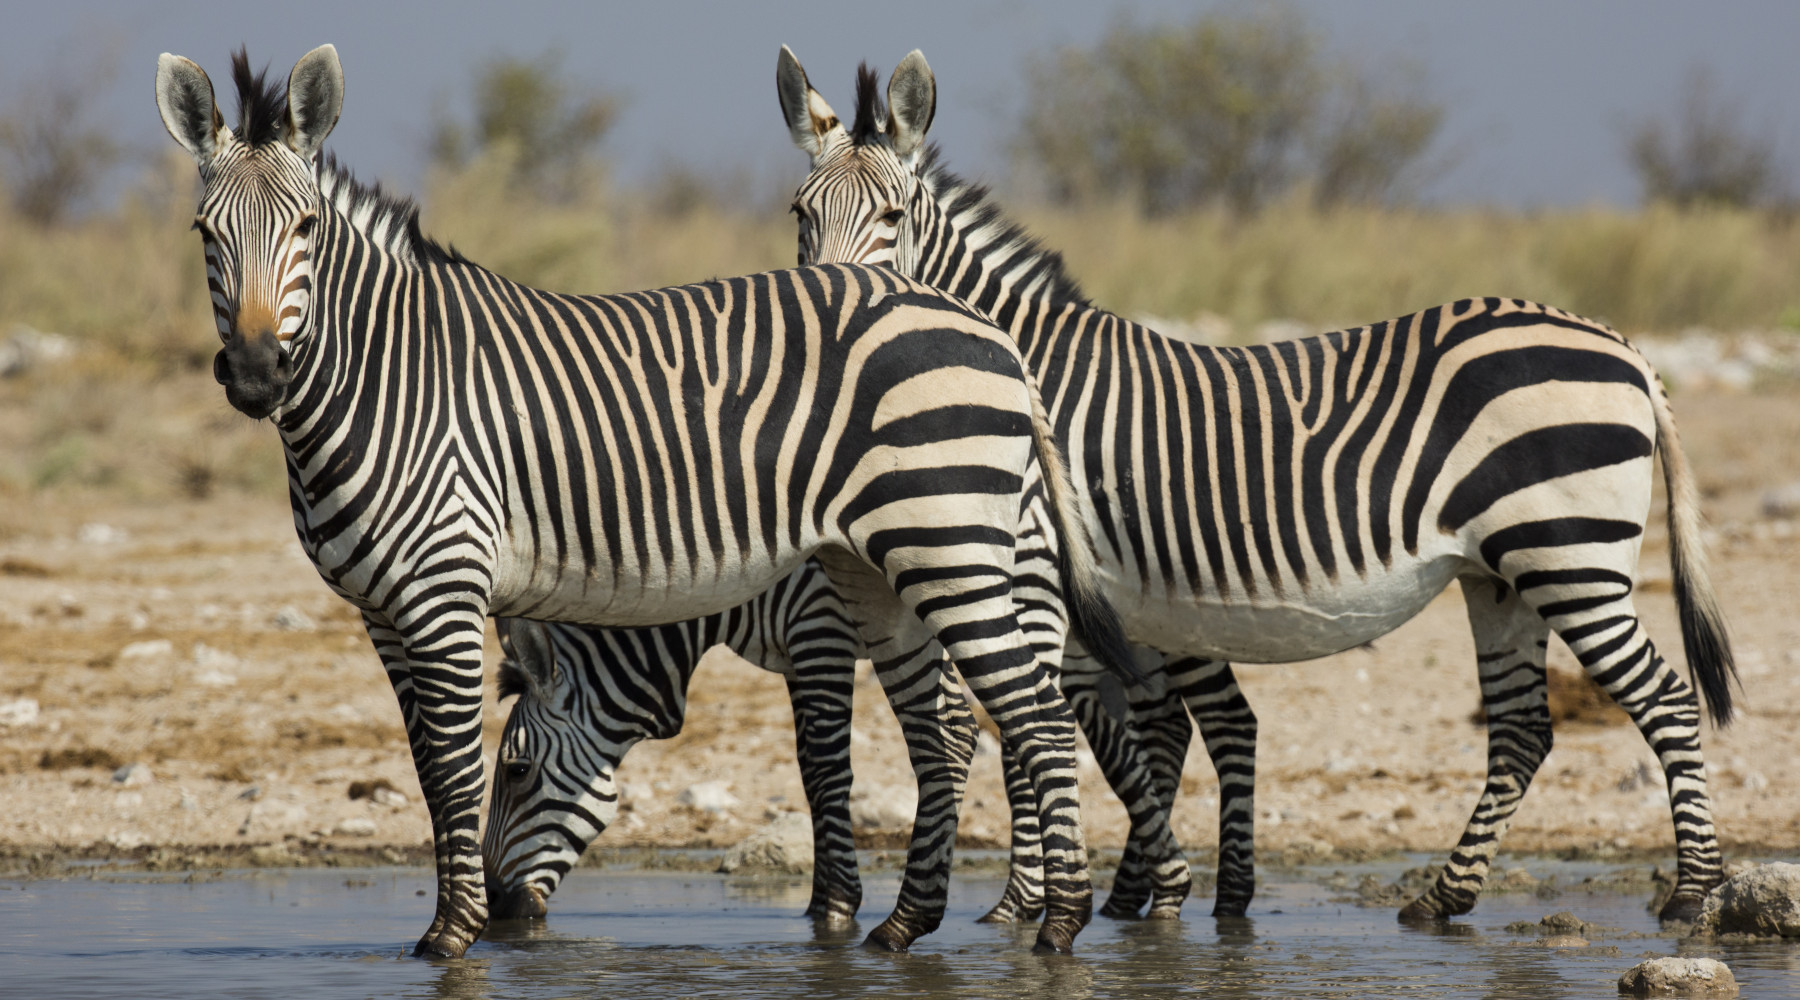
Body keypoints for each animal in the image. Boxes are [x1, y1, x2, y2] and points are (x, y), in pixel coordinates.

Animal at [154, 44, 1137, 957]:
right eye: (204, 231)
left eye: (307, 227)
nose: (255, 373)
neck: (389, 376)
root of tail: (989, 330)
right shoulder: (382, 610)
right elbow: (431, 770)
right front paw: (442, 931)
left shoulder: (445, 591)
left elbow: (456, 764)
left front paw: (453, 936)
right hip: (882, 572)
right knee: (947, 734)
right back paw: (905, 927)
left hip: (950, 550)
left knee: (1040, 721)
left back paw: (1059, 926)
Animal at [774, 46, 1738, 926]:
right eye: (798, 213)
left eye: (894, 214)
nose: (829, 301)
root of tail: (1622, 345)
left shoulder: (1037, 570)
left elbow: (1031, 732)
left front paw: (1025, 908)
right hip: (1499, 576)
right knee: (1521, 731)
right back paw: (1443, 897)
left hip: (1571, 559)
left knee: (1666, 699)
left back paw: (1693, 895)